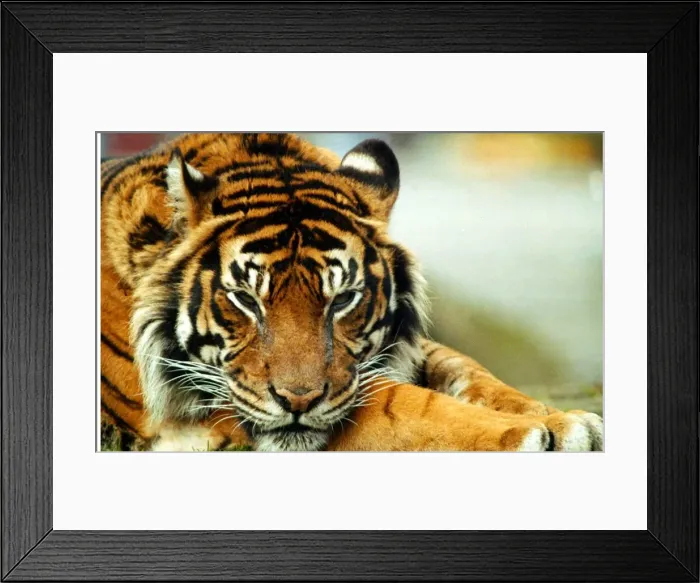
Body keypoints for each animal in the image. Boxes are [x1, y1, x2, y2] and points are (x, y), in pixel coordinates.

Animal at [100, 133, 603, 452]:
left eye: (342, 299)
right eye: (245, 298)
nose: (297, 403)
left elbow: (468, 370)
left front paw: (558, 417)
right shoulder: (217, 396)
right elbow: (405, 405)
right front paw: (536, 430)